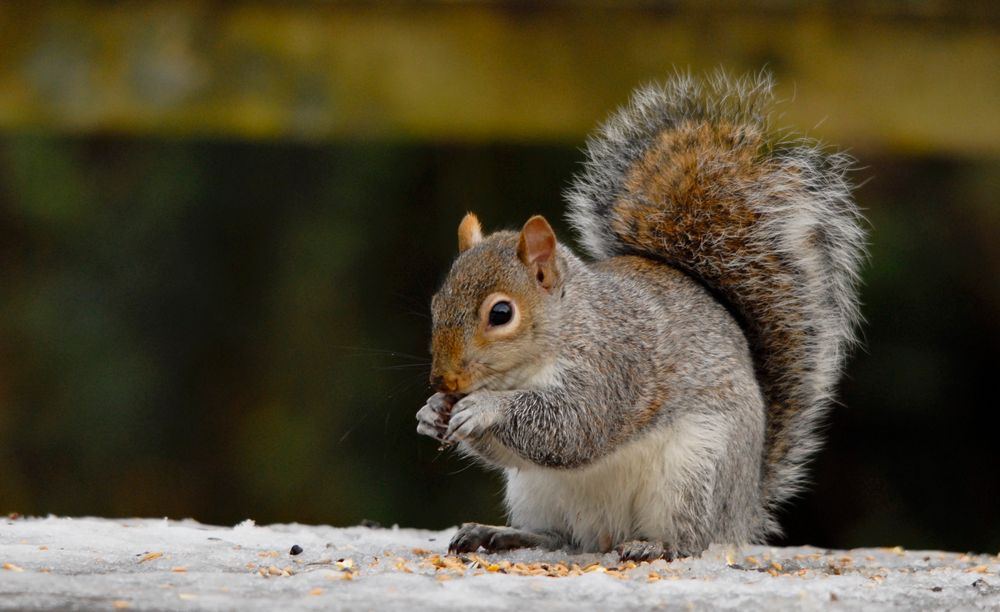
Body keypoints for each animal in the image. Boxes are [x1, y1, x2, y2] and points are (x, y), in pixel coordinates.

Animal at [414, 70, 868, 560]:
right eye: (437, 304)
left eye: (501, 313)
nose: (444, 381)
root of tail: (741, 513)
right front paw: (432, 411)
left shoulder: (614, 366)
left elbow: (570, 429)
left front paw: (484, 408)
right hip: (535, 491)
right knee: (560, 537)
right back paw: (502, 534)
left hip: (693, 472)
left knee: (690, 540)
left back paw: (657, 547)